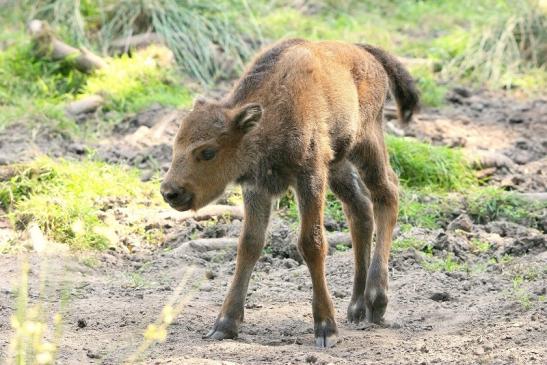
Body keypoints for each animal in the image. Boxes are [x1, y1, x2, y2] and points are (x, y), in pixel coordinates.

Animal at [159, 37, 420, 346]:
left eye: (208, 151)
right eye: (176, 144)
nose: (170, 192)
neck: (268, 116)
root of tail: (365, 52)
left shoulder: (310, 177)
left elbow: (311, 243)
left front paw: (326, 328)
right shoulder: (257, 189)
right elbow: (249, 244)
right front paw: (224, 324)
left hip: (366, 143)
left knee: (387, 194)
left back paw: (376, 302)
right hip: (339, 163)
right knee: (360, 209)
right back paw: (356, 308)